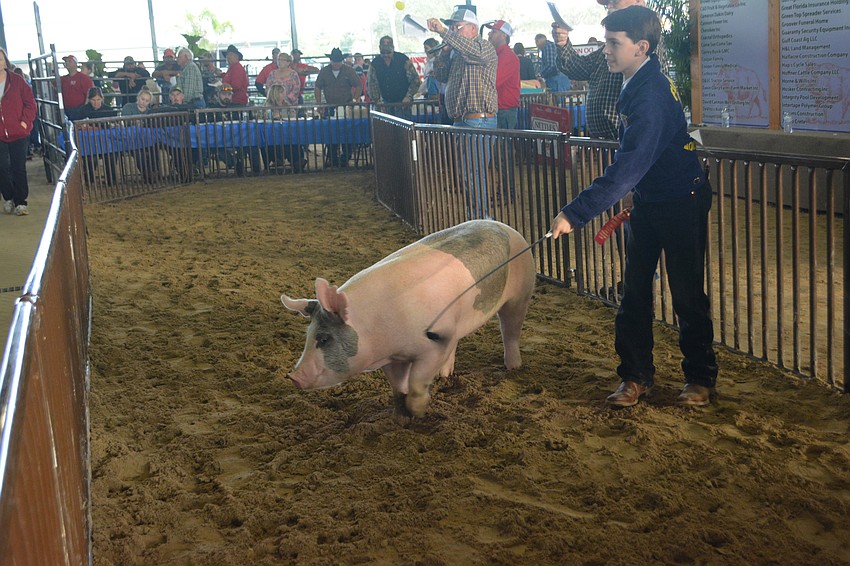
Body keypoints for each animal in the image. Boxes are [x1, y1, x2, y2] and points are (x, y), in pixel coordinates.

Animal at [281, 219, 537, 417]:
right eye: (307, 336)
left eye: (324, 339)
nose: (293, 376)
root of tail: (505, 226)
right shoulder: (393, 358)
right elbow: (398, 385)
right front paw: (401, 416)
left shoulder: (432, 345)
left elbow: (416, 381)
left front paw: (418, 411)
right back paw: (445, 375)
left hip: (521, 293)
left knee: (510, 329)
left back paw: (513, 367)